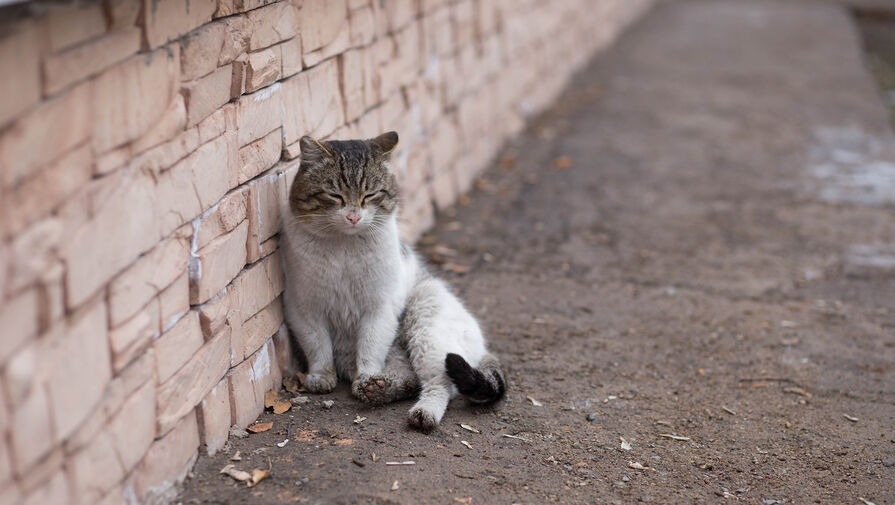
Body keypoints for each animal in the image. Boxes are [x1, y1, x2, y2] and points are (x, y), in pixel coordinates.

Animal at [280, 130, 504, 430]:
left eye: (370, 195)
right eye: (335, 195)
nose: (353, 216)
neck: (344, 247)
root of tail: (483, 346)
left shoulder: (379, 308)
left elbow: (370, 349)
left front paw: (365, 376)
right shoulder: (304, 308)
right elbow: (318, 346)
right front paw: (321, 377)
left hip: (425, 328)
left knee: (440, 382)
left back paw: (420, 411)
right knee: (409, 378)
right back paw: (378, 388)